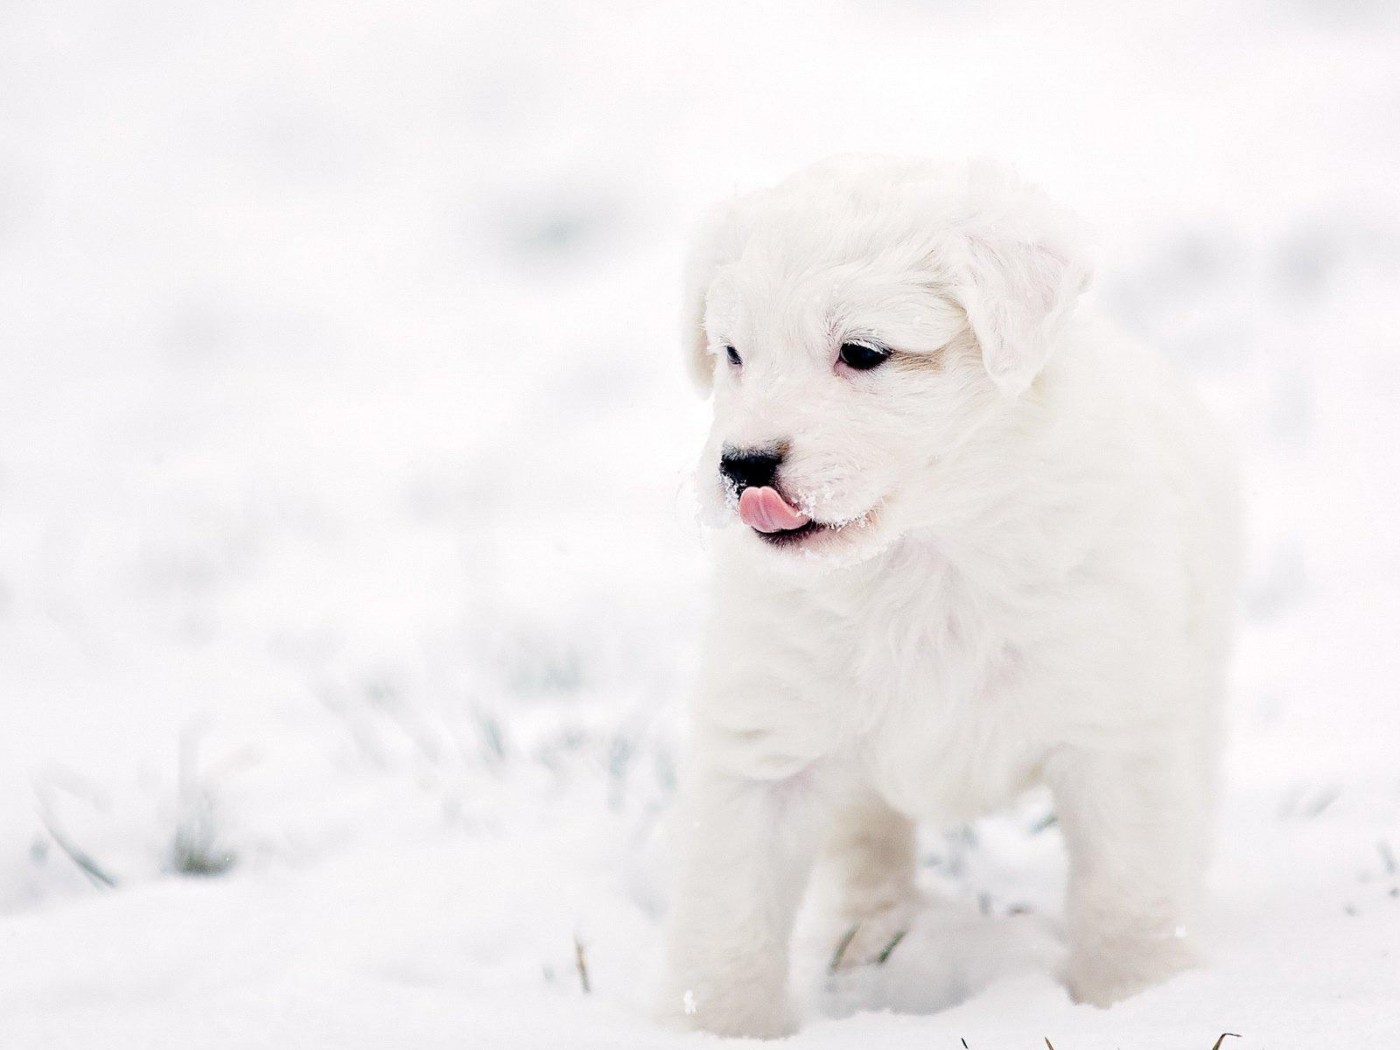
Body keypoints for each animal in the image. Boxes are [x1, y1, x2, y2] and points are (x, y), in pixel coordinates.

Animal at [662, 156, 1240, 1038]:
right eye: (732, 352)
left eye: (862, 352)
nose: (742, 465)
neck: (920, 556)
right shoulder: (764, 743)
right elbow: (729, 916)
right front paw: (719, 1030)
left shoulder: (1113, 726)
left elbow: (1128, 887)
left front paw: (1139, 999)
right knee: (868, 845)